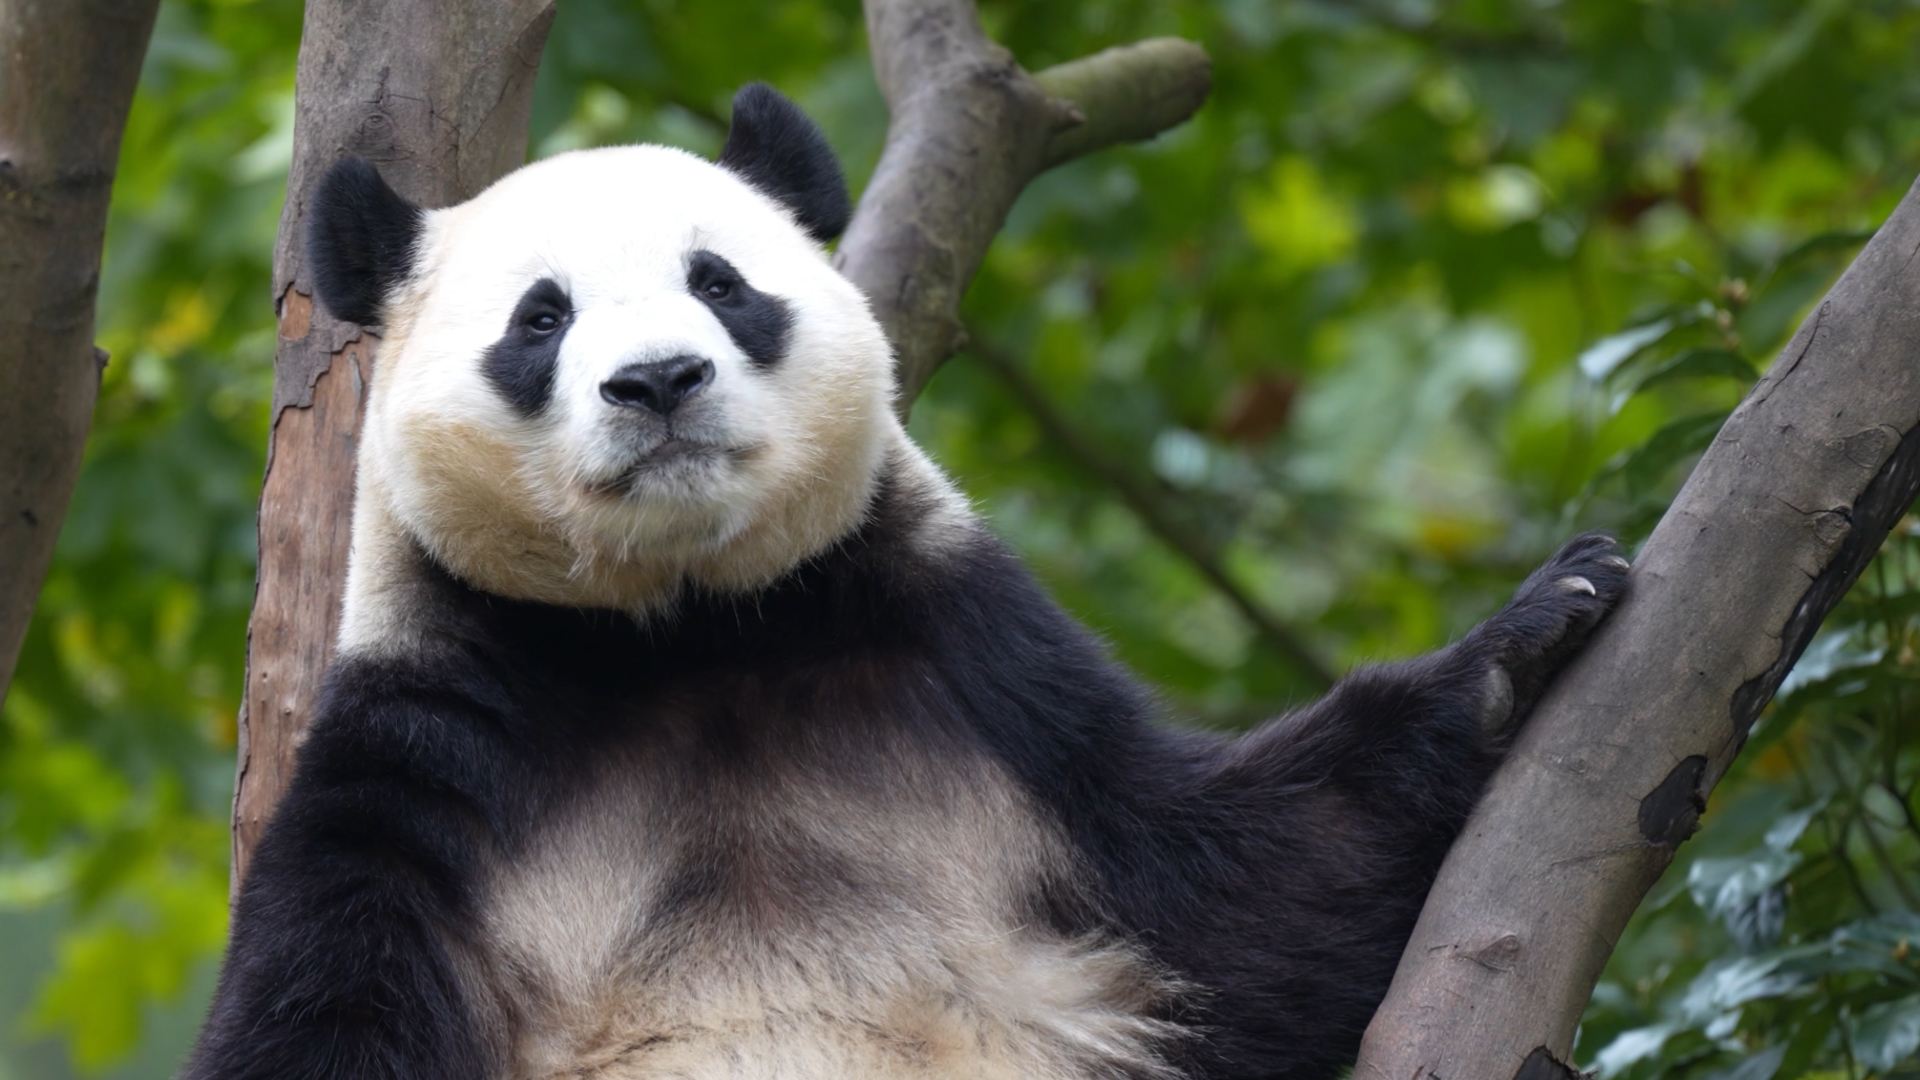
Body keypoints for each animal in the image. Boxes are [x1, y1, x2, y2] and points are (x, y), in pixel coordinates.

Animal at [183, 84, 1627, 1080]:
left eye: (721, 283)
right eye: (541, 318)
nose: (659, 382)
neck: (686, 635)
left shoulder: (984, 682)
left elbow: (1252, 898)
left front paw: (1527, 637)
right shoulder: (435, 755)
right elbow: (321, 1020)